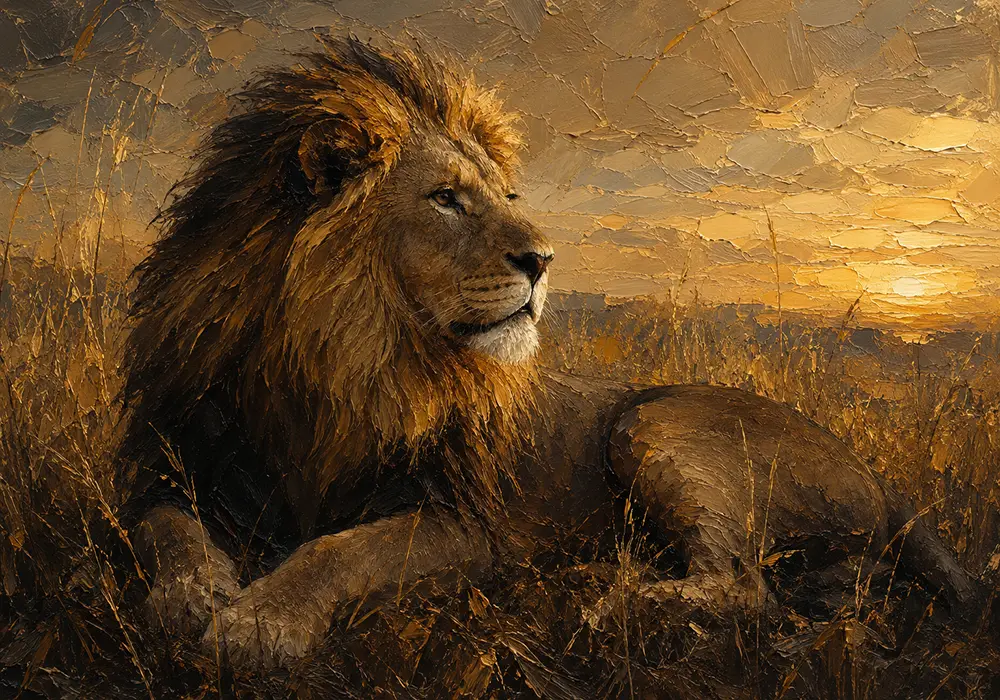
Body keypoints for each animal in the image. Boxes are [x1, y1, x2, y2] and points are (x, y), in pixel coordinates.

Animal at [119, 37, 983, 670]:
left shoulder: (466, 521)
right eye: (445, 198)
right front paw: (194, 598)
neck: (337, 362)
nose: (544, 259)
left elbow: (340, 550)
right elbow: (169, 531)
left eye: (505, 198)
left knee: (745, 588)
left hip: (652, 422)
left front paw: (259, 624)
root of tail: (877, 475)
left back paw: (616, 599)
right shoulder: (171, 461)